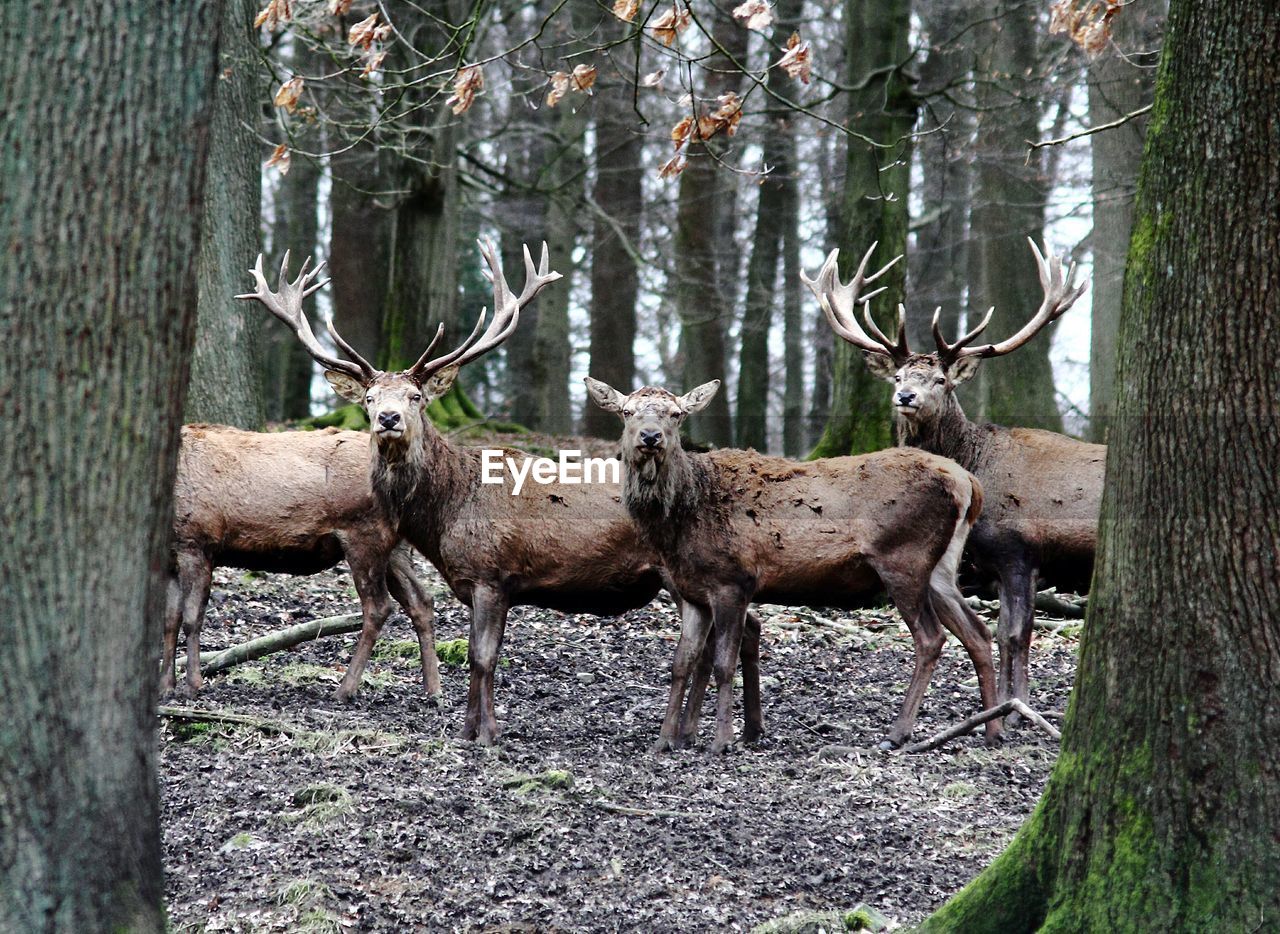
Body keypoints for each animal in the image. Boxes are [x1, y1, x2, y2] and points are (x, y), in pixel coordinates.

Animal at [161, 422, 440, 696]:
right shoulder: (171, 560)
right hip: (396, 549)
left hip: (365, 535)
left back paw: (345, 689)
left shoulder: (196, 542)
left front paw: (192, 685)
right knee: (421, 600)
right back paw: (433, 690)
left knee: (379, 607)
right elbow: (170, 621)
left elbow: (191, 618)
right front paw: (166, 686)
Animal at [238, 244, 757, 747]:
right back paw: (729, 731)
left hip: (691, 569)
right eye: (369, 398)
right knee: (743, 628)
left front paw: (486, 734)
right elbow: (476, 654)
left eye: (416, 397)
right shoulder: (478, 583)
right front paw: (469, 729)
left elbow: (483, 658)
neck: (446, 512)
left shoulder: (491, 574)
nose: (388, 418)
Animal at [586, 373, 1003, 752]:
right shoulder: (691, 591)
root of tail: (969, 482)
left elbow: (723, 662)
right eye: (627, 412)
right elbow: (680, 663)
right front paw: (664, 741)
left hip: (904, 558)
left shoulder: (733, 580)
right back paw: (993, 730)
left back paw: (898, 734)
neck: (679, 524)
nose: (650, 437)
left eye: (676, 414)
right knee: (978, 632)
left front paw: (721, 741)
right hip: (941, 568)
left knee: (931, 638)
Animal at [803, 237, 1105, 711]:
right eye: (898, 375)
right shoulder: (995, 560)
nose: (906, 396)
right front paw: (1004, 705)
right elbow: (1004, 632)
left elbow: (1014, 633)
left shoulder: (1020, 548)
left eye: (941, 379)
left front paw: (1015, 709)